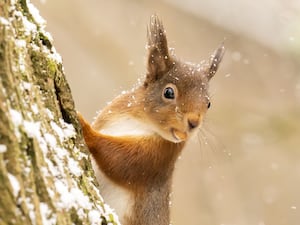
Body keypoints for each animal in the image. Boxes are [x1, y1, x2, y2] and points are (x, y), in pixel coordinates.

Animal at [78, 15, 224, 225]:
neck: (141, 121)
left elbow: (119, 160)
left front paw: (84, 125)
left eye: (209, 103)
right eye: (169, 92)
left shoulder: (156, 158)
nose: (194, 122)